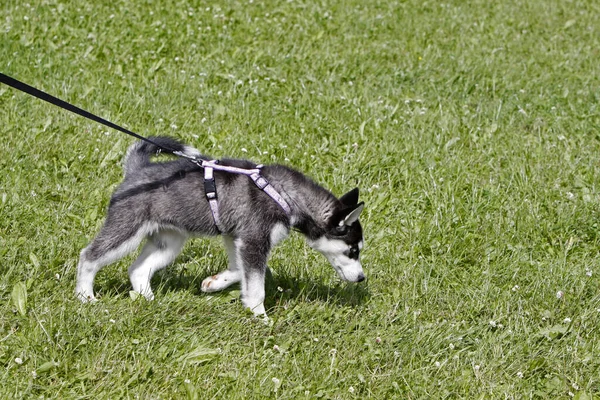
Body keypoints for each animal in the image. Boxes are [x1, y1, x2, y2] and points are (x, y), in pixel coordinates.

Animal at [75, 138, 366, 316]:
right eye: (353, 250)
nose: (362, 278)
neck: (284, 193)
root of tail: (137, 170)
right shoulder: (254, 241)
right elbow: (257, 287)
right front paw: (261, 317)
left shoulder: (236, 238)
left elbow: (239, 271)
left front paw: (214, 284)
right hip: (126, 229)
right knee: (88, 256)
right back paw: (85, 296)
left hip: (169, 242)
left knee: (137, 269)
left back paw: (149, 300)